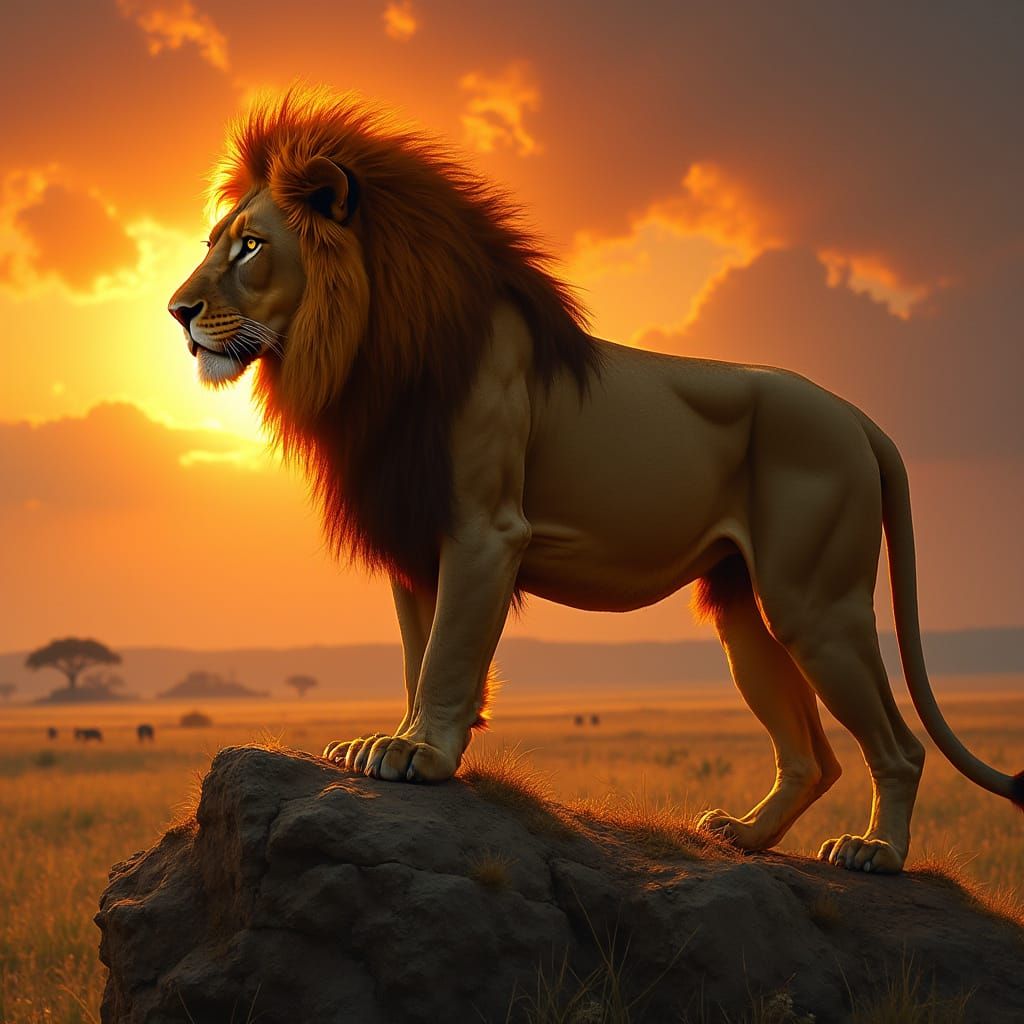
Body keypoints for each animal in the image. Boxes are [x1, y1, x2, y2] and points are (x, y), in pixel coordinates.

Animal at [169, 88, 1023, 874]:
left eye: (249, 247)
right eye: (215, 243)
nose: (177, 312)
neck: (368, 350)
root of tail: (858, 417)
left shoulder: (485, 527)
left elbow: (447, 652)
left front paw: (418, 754)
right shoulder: (414, 529)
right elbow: (421, 650)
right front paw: (405, 743)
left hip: (815, 600)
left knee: (900, 745)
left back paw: (874, 851)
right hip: (742, 606)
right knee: (814, 755)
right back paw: (745, 836)